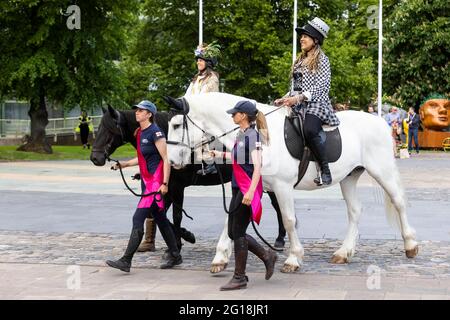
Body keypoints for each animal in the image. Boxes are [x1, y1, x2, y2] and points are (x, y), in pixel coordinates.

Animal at [89, 105, 286, 252]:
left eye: (109, 129)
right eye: (99, 127)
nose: (95, 158)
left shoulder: (176, 187)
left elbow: (176, 215)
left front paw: (179, 241)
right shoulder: (166, 189)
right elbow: (159, 213)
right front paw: (183, 237)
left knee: (278, 206)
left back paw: (280, 238)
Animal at [165, 92, 418, 272]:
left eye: (176, 125)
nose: (172, 161)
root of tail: (380, 122)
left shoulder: (282, 187)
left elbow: (288, 220)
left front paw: (294, 258)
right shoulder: (245, 186)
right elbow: (231, 220)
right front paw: (219, 257)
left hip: (382, 171)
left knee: (399, 202)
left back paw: (410, 245)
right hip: (349, 177)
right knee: (355, 210)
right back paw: (344, 252)